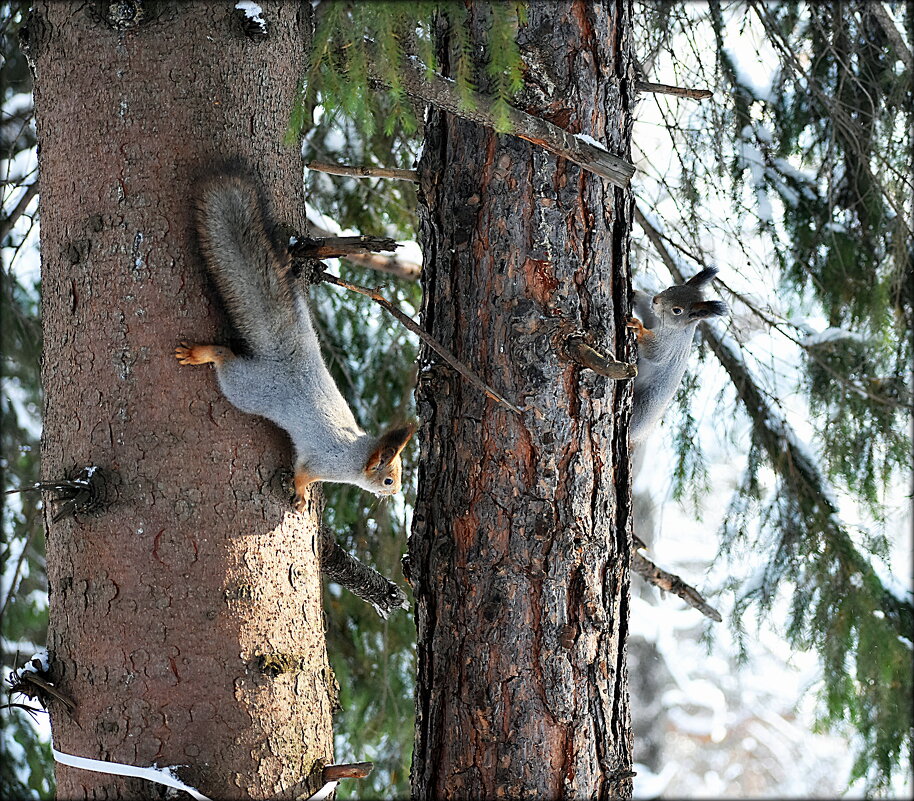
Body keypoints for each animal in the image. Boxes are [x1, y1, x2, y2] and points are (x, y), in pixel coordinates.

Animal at [175, 177, 410, 510]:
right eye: (388, 479)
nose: (396, 493)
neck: (354, 454)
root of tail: (286, 358)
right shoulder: (322, 463)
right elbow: (302, 473)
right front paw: (300, 496)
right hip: (245, 388)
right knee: (224, 359)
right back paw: (201, 353)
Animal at [628, 268, 728, 444]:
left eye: (677, 310)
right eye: (671, 287)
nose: (656, 300)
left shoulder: (670, 345)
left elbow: (655, 350)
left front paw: (639, 328)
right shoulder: (652, 315)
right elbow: (645, 307)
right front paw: (634, 293)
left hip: (646, 406)